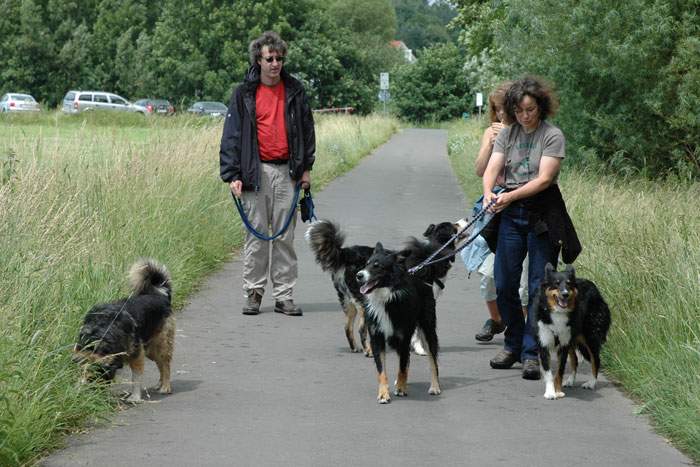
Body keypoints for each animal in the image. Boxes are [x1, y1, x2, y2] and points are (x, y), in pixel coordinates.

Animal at [73, 260, 175, 402]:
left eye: (102, 378)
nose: (95, 397)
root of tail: (161, 296)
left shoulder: (136, 355)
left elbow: (136, 377)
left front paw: (135, 397)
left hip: (160, 344)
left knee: (165, 365)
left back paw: (165, 386)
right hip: (150, 348)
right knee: (159, 364)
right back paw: (159, 384)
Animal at [358, 243, 440, 404]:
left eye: (378, 266)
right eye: (366, 264)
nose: (359, 275)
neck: (386, 298)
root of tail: (420, 278)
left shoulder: (404, 337)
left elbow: (402, 366)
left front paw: (401, 389)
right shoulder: (377, 337)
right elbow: (382, 370)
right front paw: (383, 394)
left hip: (428, 328)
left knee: (432, 360)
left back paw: (434, 387)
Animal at [532, 266, 608, 400]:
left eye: (568, 284)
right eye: (556, 283)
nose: (565, 294)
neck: (558, 312)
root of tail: (595, 289)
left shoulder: (563, 345)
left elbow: (559, 371)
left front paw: (557, 391)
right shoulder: (544, 343)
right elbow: (549, 372)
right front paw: (550, 392)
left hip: (590, 336)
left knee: (596, 359)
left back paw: (591, 383)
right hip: (572, 338)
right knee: (575, 360)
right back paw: (570, 381)